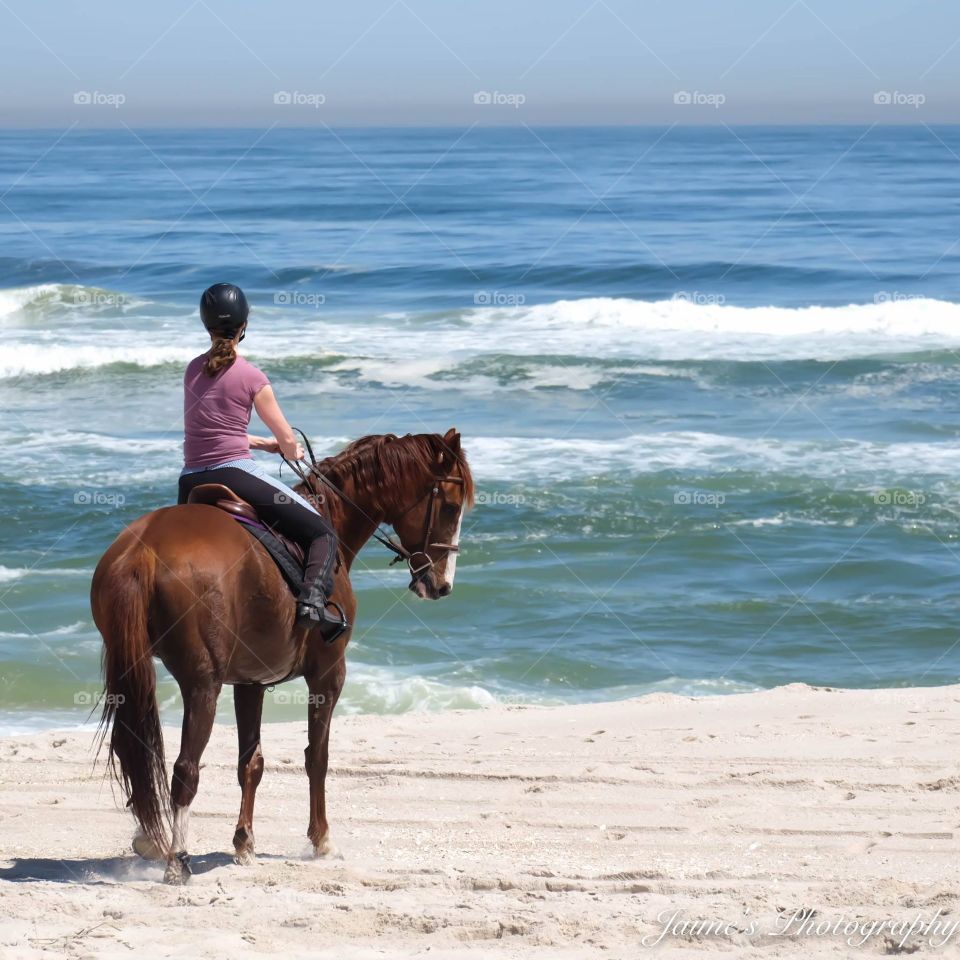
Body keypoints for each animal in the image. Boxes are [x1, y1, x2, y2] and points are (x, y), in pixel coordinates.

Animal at [91, 429, 473, 883]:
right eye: (450, 506)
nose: (442, 585)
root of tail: (144, 549)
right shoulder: (329, 674)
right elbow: (317, 757)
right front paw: (322, 840)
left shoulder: (250, 681)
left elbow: (251, 762)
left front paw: (244, 843)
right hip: (203, 685)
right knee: (184, 769)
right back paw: (176, 859)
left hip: (130, 669)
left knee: (132, 750)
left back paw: (149, 841)